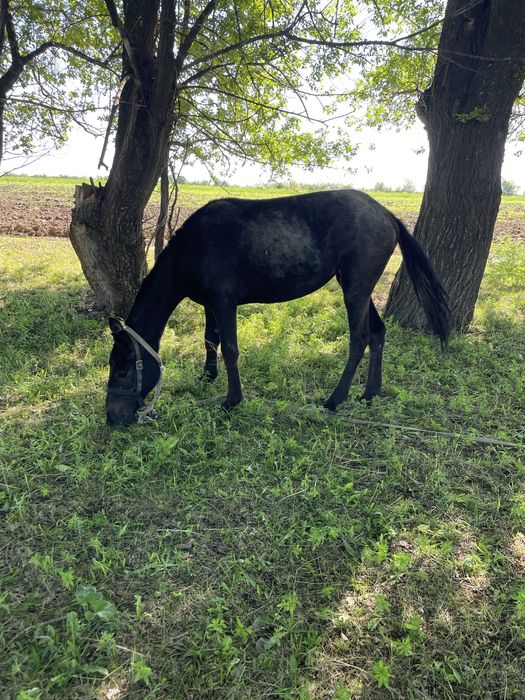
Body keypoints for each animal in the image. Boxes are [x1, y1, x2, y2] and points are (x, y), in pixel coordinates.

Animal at [106, 189, 450, 426]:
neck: (196, 245)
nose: (112, 418)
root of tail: (387, 214)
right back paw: (369, 394)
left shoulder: (224, 302)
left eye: (122, 371)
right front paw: (207, 377)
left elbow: (230, 349)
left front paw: (232, 400)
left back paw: (335, 400)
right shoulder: (210, 305)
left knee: (359, 340)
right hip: (359, 290)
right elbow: (210, 340)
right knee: (378, 334)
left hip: (355, 290)